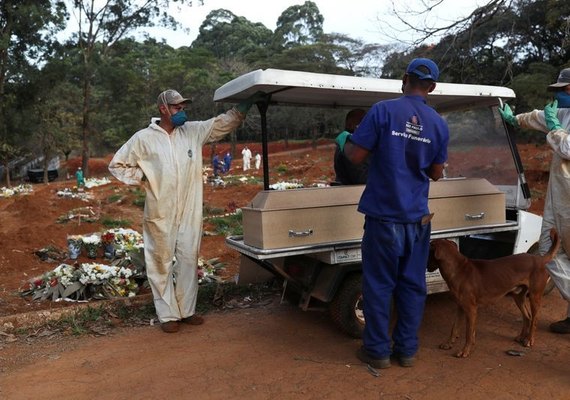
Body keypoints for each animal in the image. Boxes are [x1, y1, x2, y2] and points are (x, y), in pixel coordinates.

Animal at [428, 230, 556, 358]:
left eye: (428, 252)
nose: (426, 266)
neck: (459, 269)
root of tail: (540, 259)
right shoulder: (460, 307)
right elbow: (455, 328)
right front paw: (449, 343)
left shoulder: (471, 309)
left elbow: (468, 333)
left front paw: (465, 351)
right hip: (518, 296)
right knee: (527, 317)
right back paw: (521, 337)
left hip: (534, 296)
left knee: (534, 319)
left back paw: (529, 340)